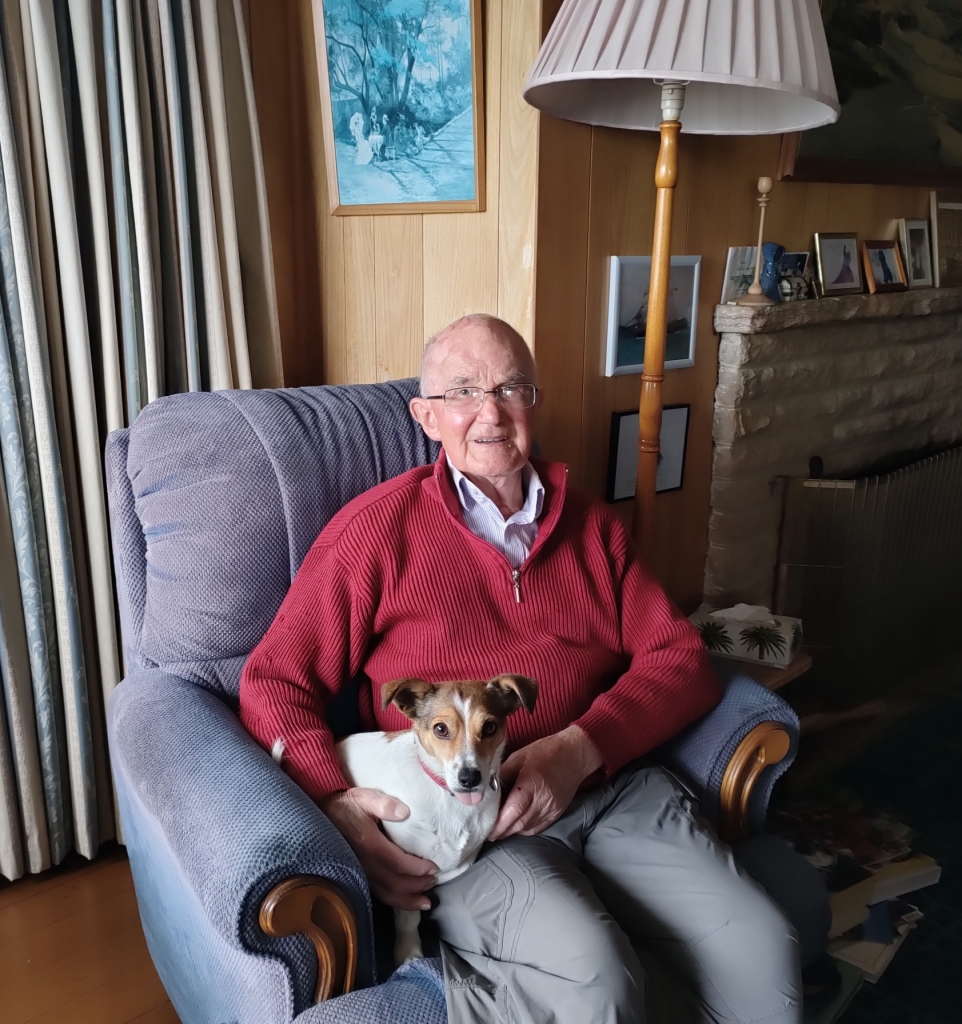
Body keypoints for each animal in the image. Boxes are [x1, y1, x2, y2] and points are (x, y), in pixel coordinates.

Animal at [333, 675, 536, 962]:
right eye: (441, 729)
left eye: (490, 727)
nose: (470, 778)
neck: (452, 801)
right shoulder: (406, 872)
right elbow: (410, 916)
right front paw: (408, 951)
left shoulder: (466, 859)